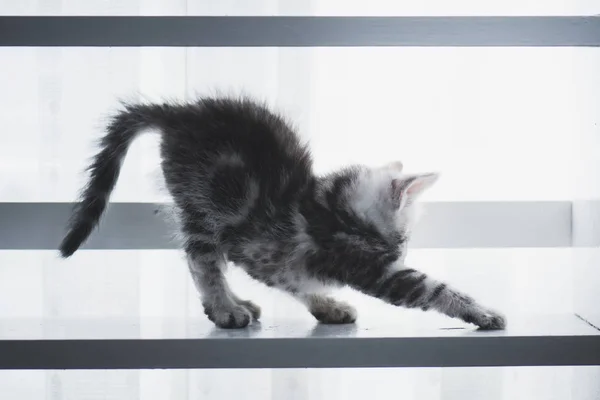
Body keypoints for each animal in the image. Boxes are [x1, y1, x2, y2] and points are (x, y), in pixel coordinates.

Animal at [57, 95, 506, 330]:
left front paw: (327, 306)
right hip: (204, 206)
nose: (400, 251)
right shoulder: (363, 263)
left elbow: (290, 278)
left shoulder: (272, 257)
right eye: (405, 238)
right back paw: (225, 308)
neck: (332, 205)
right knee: (201, 261)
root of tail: (180, 111)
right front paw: (481, 311)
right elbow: (431, 288)